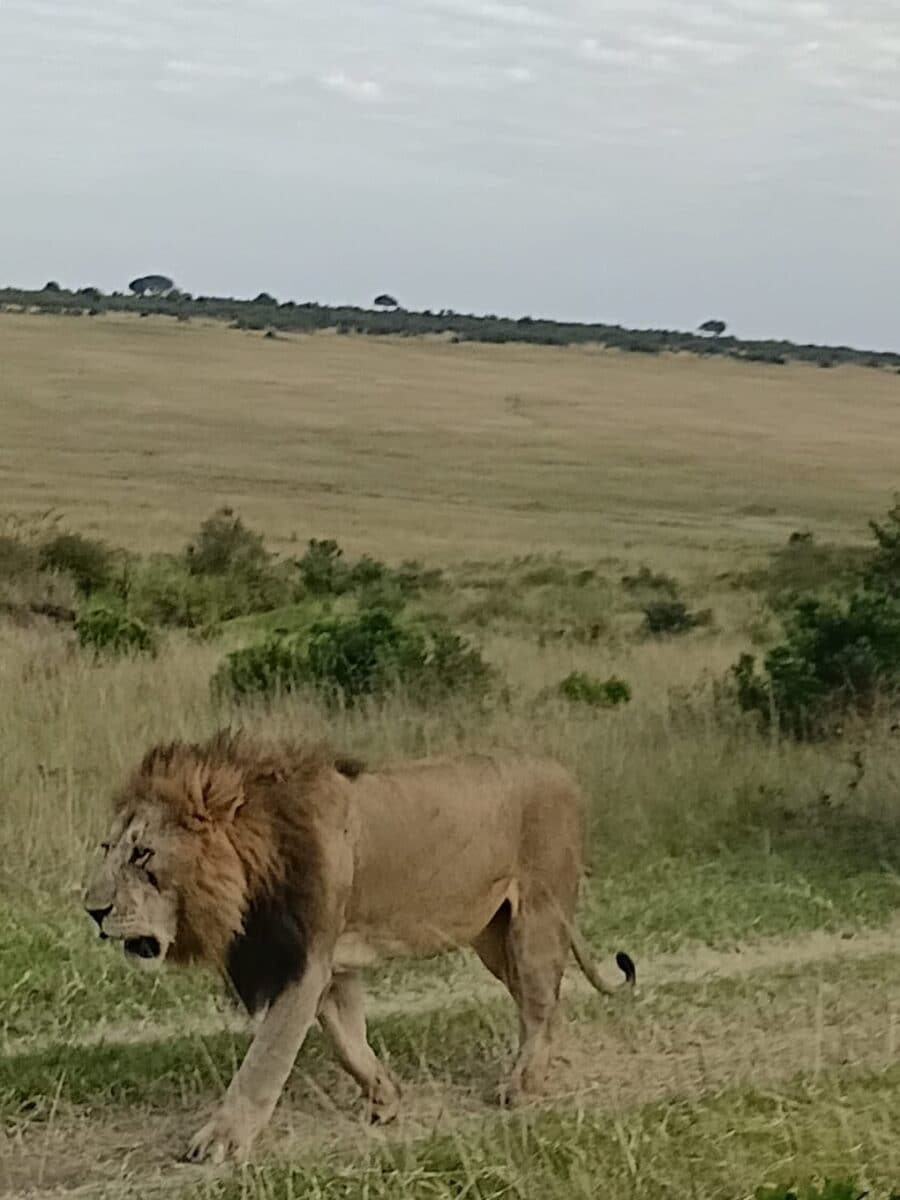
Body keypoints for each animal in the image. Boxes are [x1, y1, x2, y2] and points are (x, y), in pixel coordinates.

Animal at [82, 730, 635, 1164]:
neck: (255, 864)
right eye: (108, 849)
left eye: (142, 853)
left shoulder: (304, 963)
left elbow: (264, 1060)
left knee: (541, 1004)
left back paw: (521, 1085)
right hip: (494, 937)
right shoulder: (329, 964)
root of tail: (564, 771)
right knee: (541, 1003)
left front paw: (221, 1140)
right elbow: (348, 1042)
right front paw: (385, 1098)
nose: (92, 910)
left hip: (537, 917)